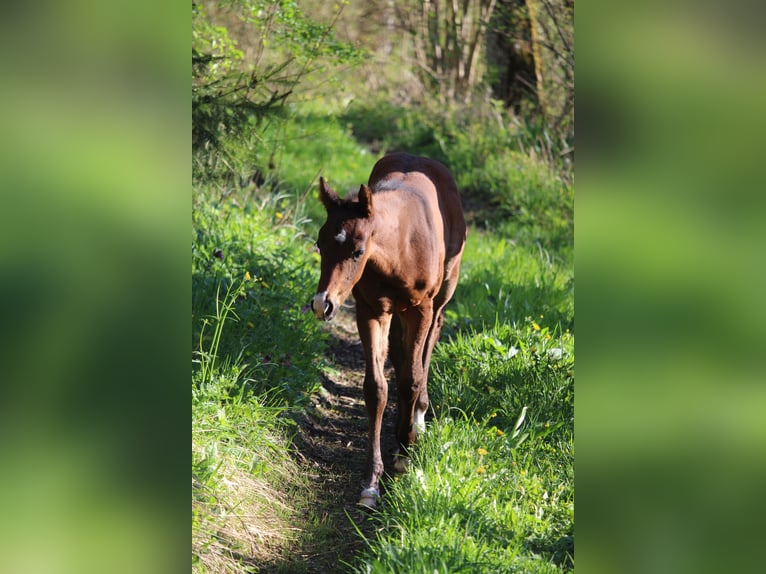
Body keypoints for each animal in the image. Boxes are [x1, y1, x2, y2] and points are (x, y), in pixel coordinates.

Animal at [310, 152, 466, 508]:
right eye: (319, 244)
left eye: (357, 251)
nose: (322, 304)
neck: (399, 248)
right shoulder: (371, 311)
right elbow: (376, 388)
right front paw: (371, 483)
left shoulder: (420, 309)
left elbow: (411, 377)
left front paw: (406, 452)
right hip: (395, 314)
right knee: (399, 352)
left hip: (440, 296)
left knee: (428, 345)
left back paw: (418, 416)